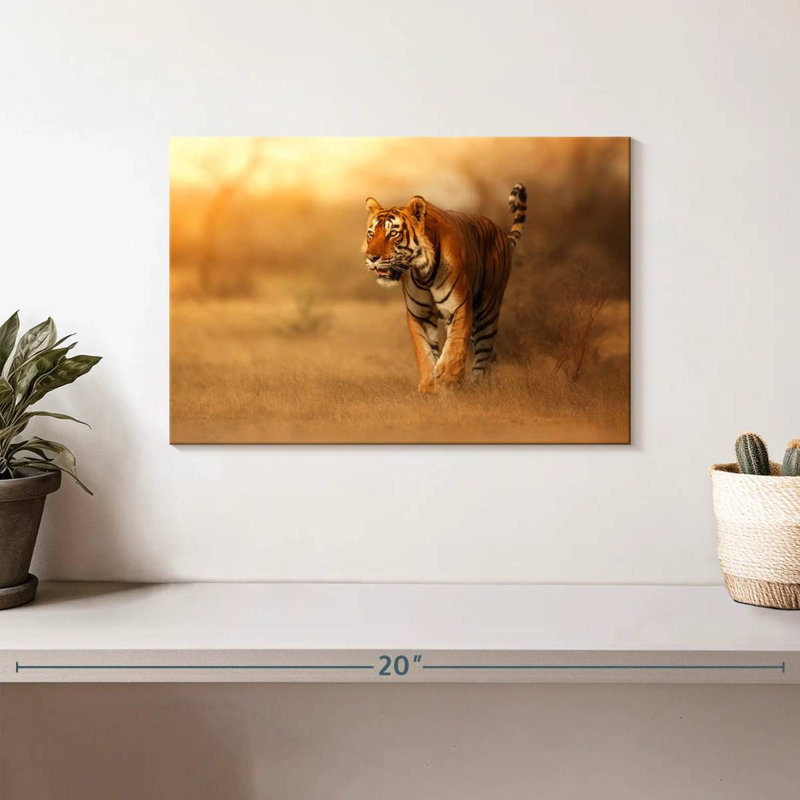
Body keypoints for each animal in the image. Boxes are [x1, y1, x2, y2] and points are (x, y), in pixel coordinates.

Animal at [362, 183, 527, 392]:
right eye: (371, 234)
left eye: (393, 234)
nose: (371, 258)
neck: (423, 273)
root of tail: (501, 234)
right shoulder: (420, 315)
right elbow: (424, 352)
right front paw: (428, 387)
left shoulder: (459, 307)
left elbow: (455, 346)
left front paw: (447, 381)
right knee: (491, 354)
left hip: (486, 311)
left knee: (484, 352)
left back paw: (477, 386)